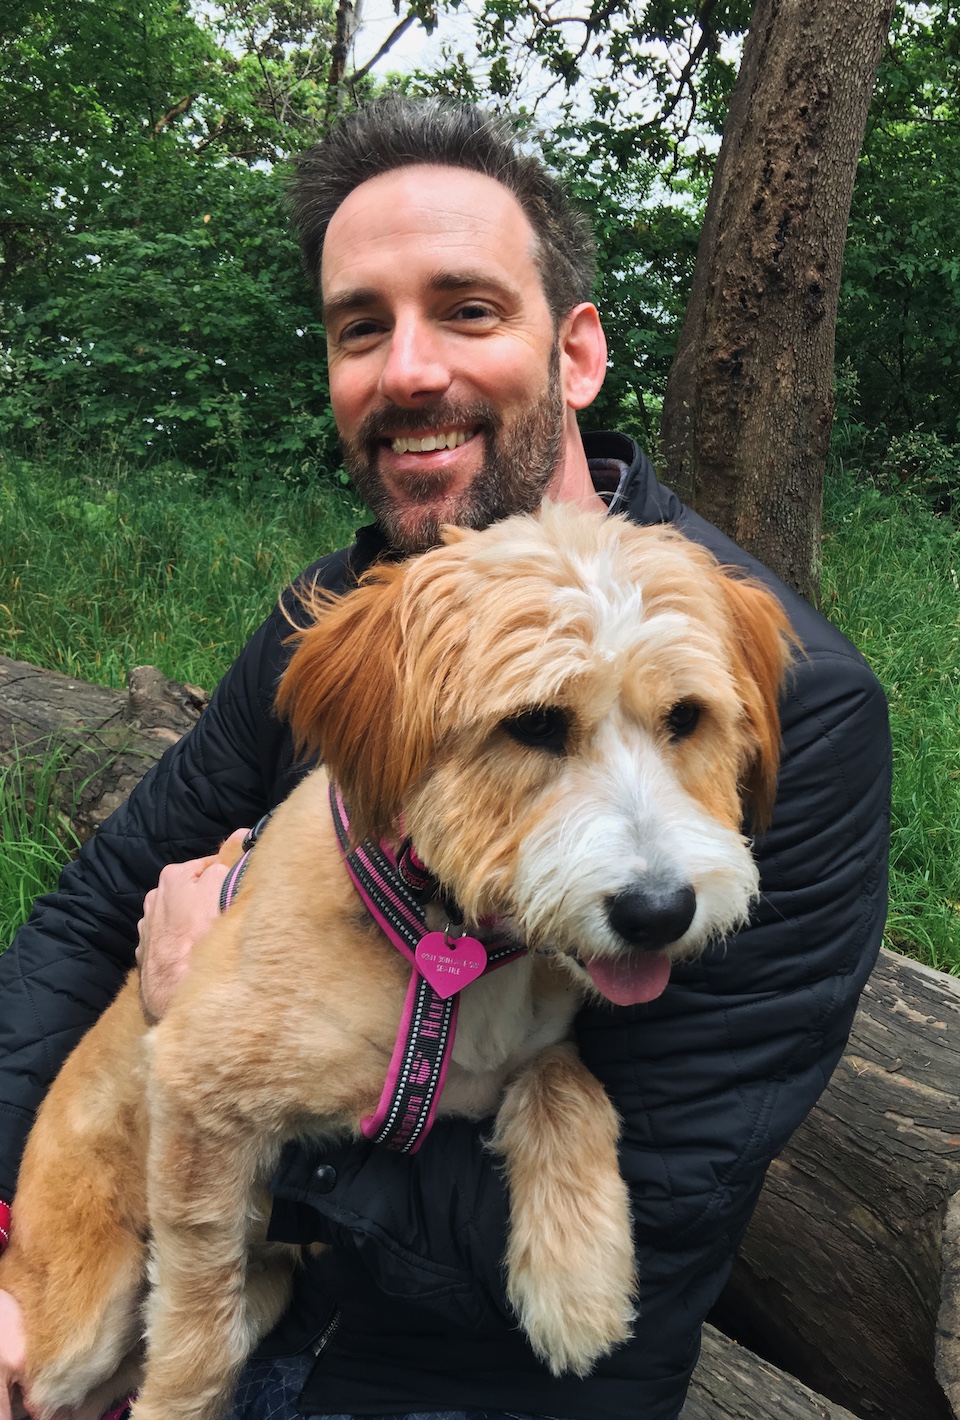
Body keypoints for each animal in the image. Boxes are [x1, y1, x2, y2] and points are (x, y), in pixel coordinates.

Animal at [0, 502, 795, 1420]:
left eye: (687, 718)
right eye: (534, 724)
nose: (659, 913)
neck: (447, 943)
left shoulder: (535, 1050)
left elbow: (571, 1086)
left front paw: (580, 1279)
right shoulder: (197, 1094)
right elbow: (198, 1328)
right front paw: (179, 1402)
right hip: (82, 1313)